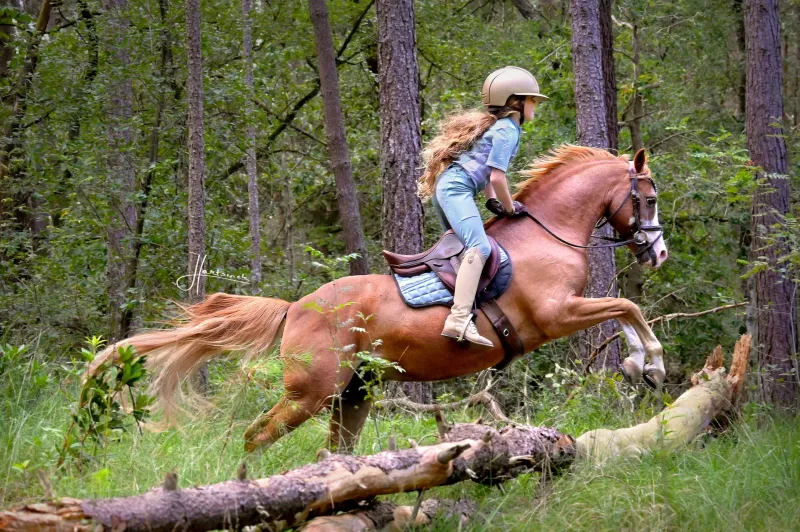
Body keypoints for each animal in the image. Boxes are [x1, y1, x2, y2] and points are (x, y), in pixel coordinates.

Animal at [88, 144, 668, 454]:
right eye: (650, 197)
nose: (658, 252)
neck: (549, 233)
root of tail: (294, 308)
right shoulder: (556, 314)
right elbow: (629, 307)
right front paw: (651, 363)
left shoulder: (568, 310)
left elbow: (626, 310)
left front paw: (641, 365)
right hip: (311, 392)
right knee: (257, 435)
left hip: (354, 394)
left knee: (331, 451)